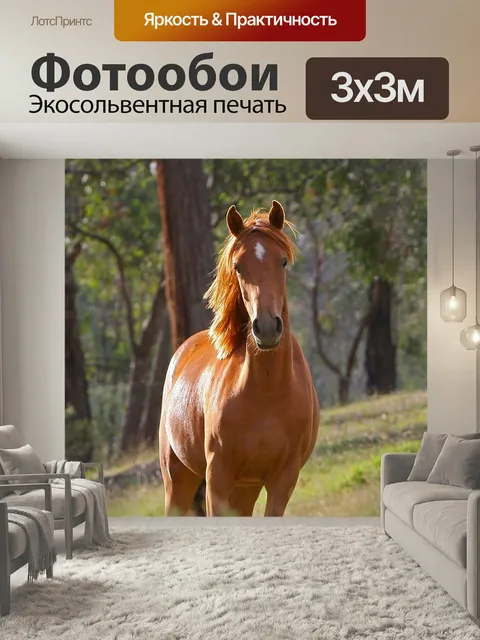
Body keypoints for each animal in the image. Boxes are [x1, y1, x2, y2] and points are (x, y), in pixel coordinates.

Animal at [159, 200, 320, 516]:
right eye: (238, 266)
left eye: (283, 262)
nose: (267, 327)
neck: (268, 392)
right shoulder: (217, 476)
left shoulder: (283, 479)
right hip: (178, 480)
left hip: (246, 489)